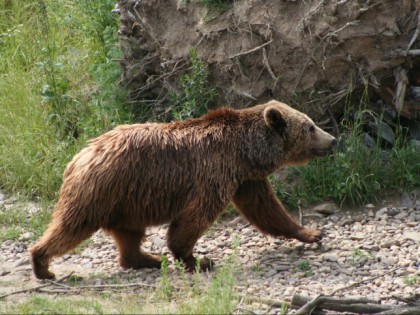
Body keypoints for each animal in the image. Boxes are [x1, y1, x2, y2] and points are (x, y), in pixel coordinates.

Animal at [29, 100, 336, 278]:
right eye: (310, 126)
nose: (332, 139)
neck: (246, 152)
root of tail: (79, 156)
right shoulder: (214, 173)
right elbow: (195, 216)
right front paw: (197, 259)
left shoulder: (247, 180)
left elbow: (267, 210)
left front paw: (311, 232)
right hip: (101, 190)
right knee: (72, 225)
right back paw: (42, 263)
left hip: (126, 201)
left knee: (129, 234)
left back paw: (147, 259)